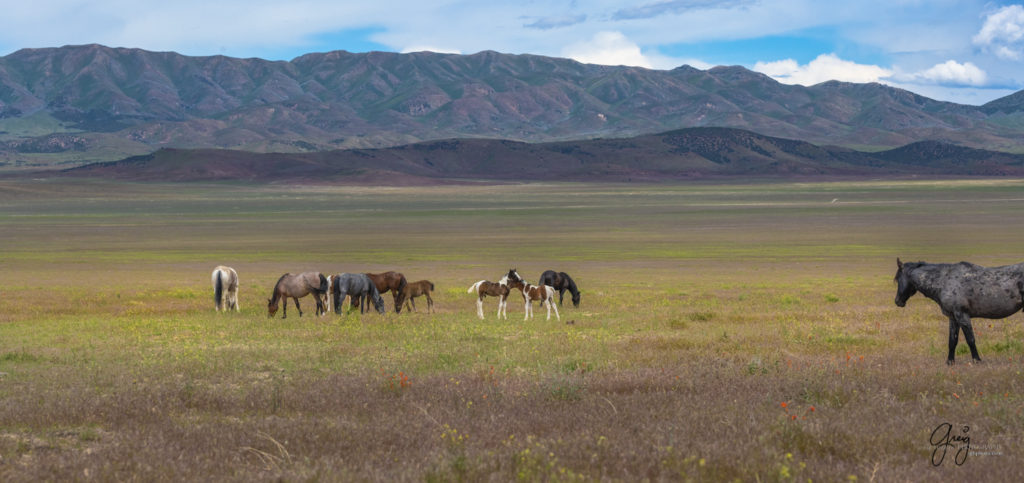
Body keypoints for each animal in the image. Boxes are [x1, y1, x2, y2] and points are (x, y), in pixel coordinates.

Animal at [888, 258, 1024, 364]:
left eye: (898, 279)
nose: (898, 301)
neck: (943, 280)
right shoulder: (953, 317)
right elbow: (952, 341)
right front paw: (950, 362)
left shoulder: (962, 316)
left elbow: (970, 339)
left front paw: (977, 360)